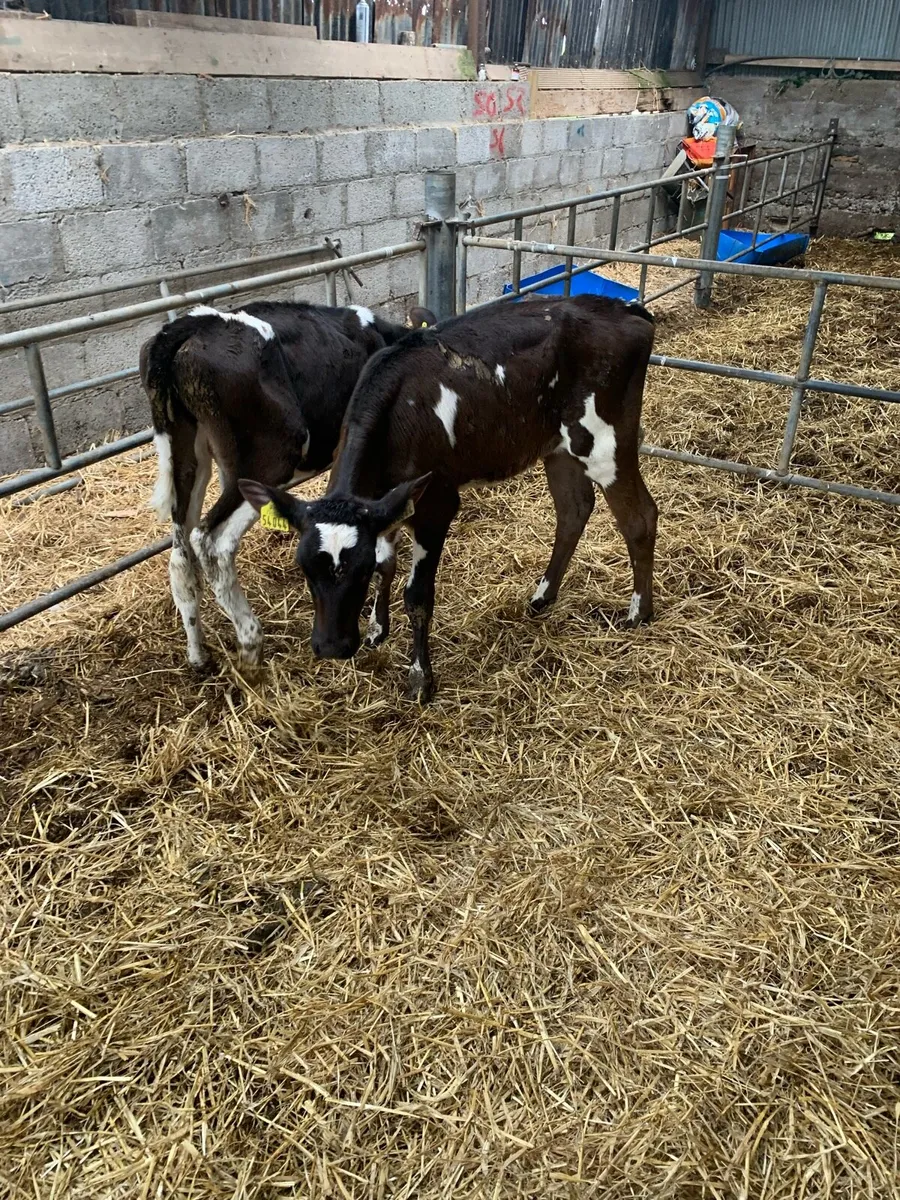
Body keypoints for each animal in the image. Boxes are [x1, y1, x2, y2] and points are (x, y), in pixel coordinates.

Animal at [140, 300, 434, 674]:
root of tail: (196, 323)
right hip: (266, 461)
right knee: (212, 541)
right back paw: (250, 640)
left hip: (185, 451)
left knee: (181, 554)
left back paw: (198, 655)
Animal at [237, 295, 659, 703]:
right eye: (304, 569)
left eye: (358, 571)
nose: (331, 647)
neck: (396, 415)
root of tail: (623, 309)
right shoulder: (389, 502)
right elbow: (387, 564)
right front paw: (377, 628)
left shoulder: (434, 506)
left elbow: (417, 595)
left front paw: (420, 679)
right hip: (558, 446)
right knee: (573, 508)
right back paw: (542, 596)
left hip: (606, 440)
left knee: (640, 517)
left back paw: (638, 612)